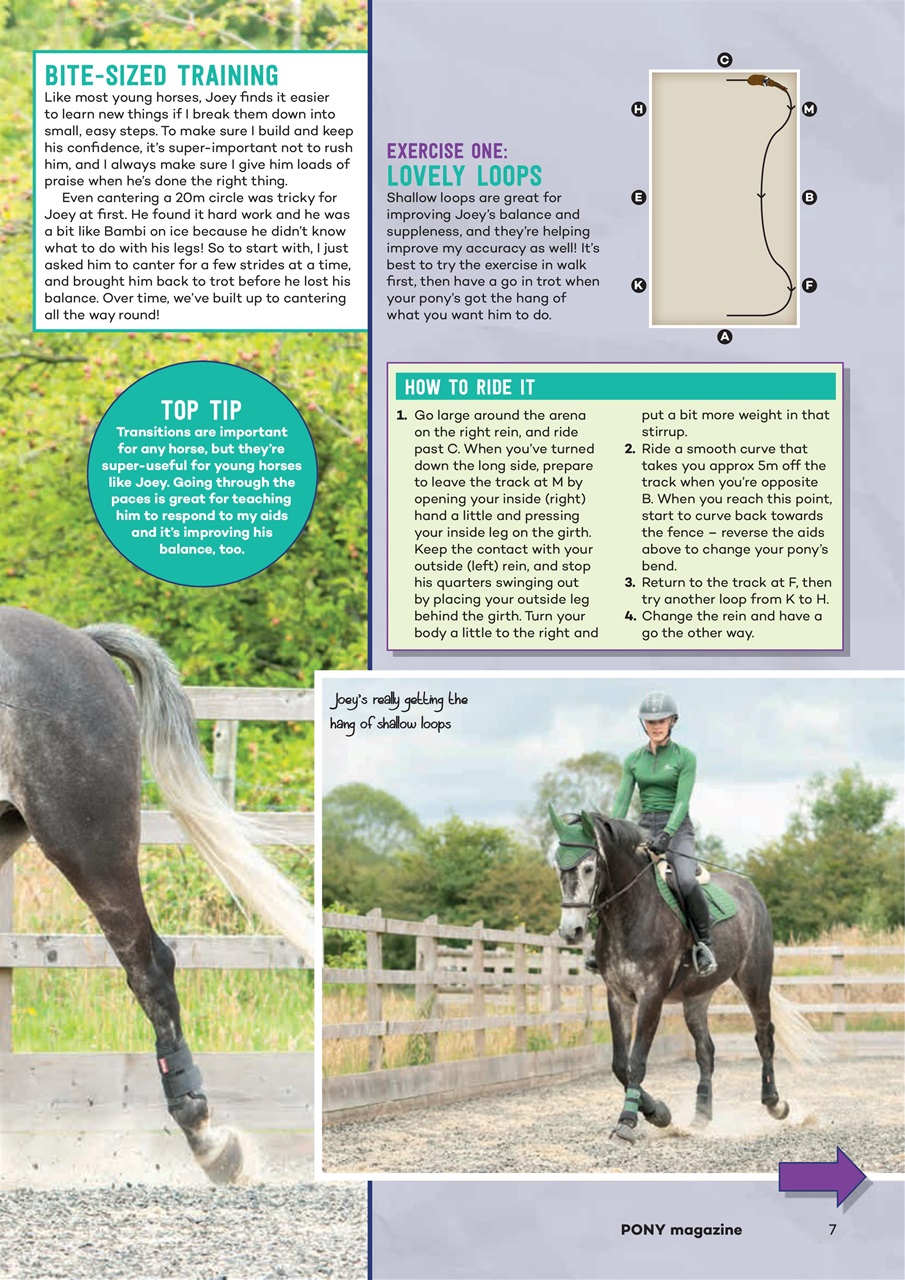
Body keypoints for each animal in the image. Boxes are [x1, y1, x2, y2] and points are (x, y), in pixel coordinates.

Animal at [550, 807, 823, 1142]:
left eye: (589, 868)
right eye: (557, 867)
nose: (571, 931)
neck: (632, 913)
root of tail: (750, 891)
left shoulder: (651, 996)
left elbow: (636, 1061)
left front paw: (628, 1121)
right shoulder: (618, 996)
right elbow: (619, 1065)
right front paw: (658, 1113)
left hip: (754, 982)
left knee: (764, 1037)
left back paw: (775, 1103)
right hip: (696, 998)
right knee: (706, 1050)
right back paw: (701, 1114)